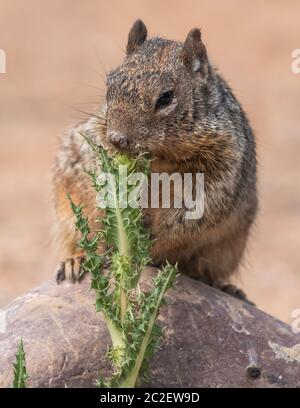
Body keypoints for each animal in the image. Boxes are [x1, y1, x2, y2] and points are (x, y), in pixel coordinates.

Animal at [52, 20, 256, 302]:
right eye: (109, 84)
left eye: (166, 97)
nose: (117, 139)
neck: (160, 158)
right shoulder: (88, 162)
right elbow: (94, 206)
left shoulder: (215, 178)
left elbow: (180, 225)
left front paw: (142, 252)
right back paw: (75, 262)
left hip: (227, 248)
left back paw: (225, 286)